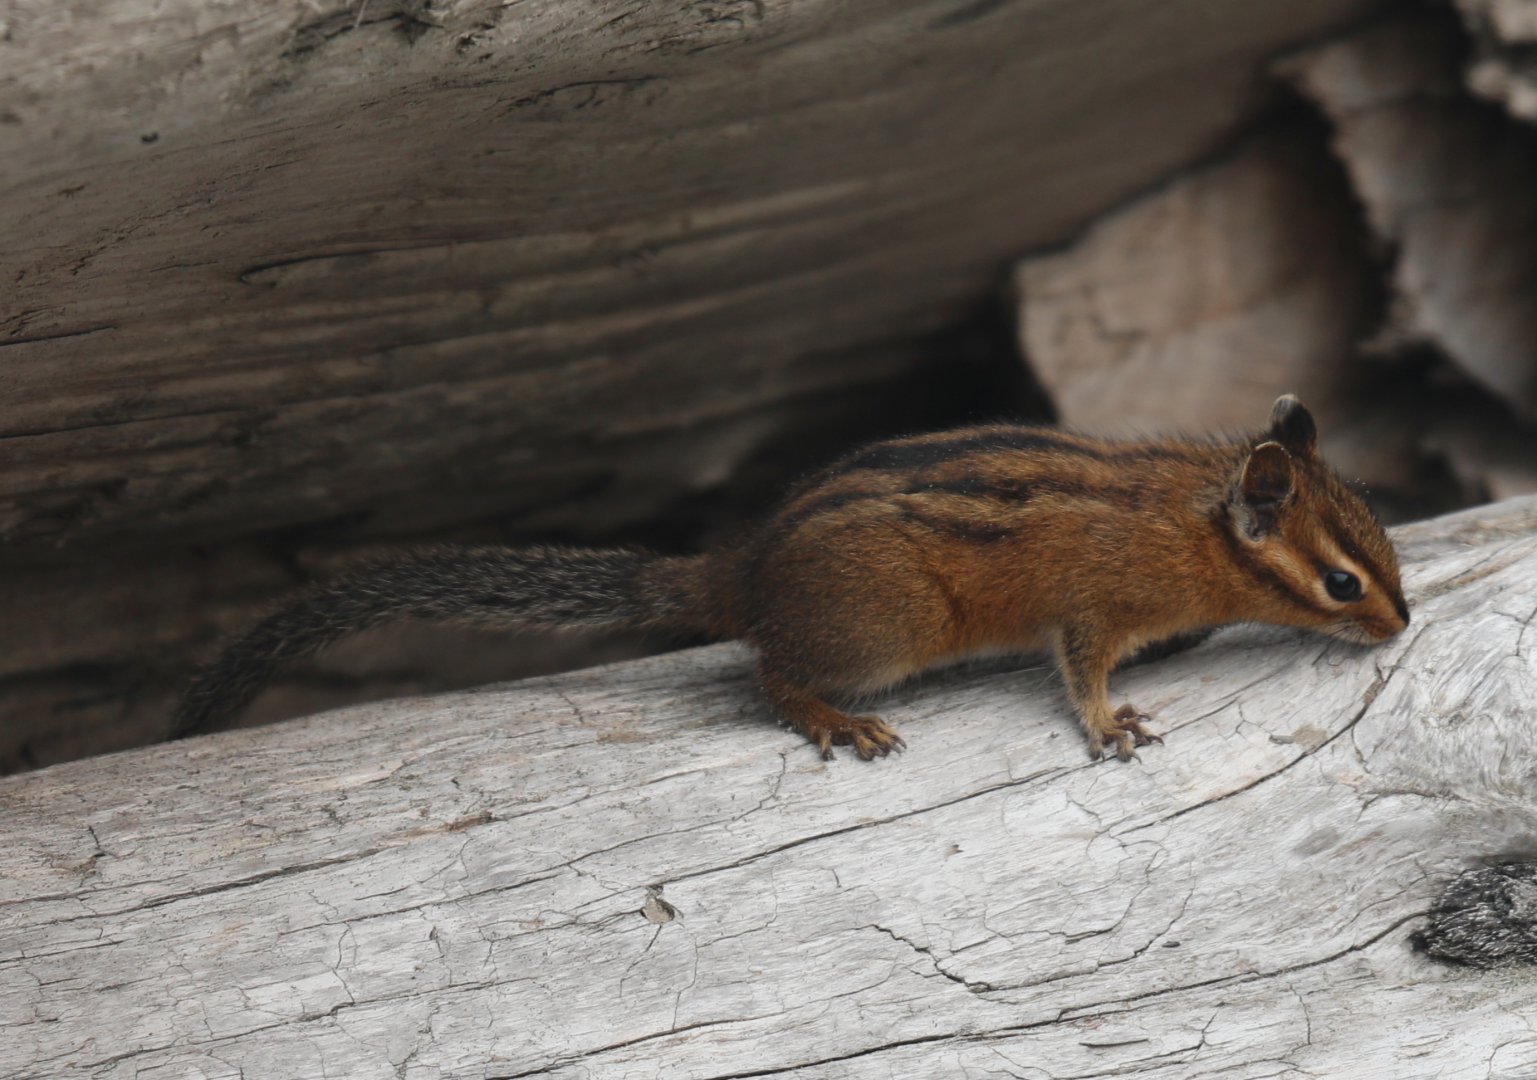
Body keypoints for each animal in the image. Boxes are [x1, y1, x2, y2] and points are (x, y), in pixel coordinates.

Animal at [172, 395, 1409, 762]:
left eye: (1387, 548)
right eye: (1344, 585)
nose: (1401, 627)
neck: (1193, 528)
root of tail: (741, 570)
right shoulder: (1092, 609)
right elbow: (1079, 672)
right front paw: (1109, 726)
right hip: (884, 632)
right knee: (764, 674)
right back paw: (833, 719)